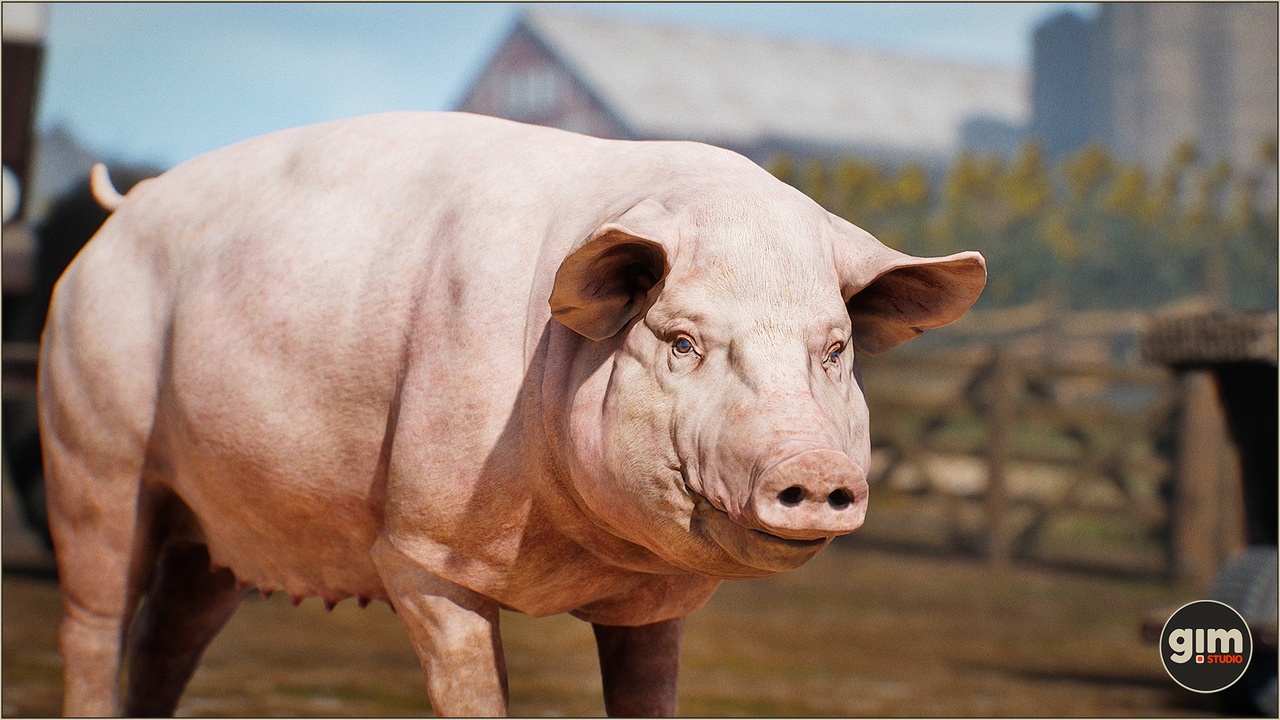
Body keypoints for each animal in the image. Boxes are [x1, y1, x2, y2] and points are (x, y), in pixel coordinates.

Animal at [39, 111, 985, 717]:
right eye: (682, 340)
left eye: (834, 349)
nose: (814, 470)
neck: (583, 559)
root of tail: (121, 210)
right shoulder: (421, 547)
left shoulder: (654, 603)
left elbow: (648, 693)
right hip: (91, 429)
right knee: (96, 617)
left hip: (219, 517)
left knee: (170, 630)